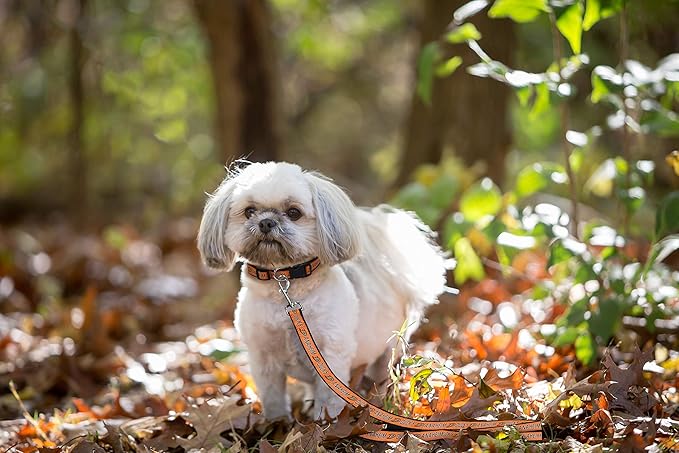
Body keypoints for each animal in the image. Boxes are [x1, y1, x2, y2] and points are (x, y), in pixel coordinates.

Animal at [197, 162, 446, 420]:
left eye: (293, 212)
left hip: (389, 348)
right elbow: (273, 398)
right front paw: (277, 423)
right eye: (249, 211)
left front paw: (325, 423)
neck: (285, 286)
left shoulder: (331, 354)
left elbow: (329, 397)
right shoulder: (263, 357)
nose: (266, 222)